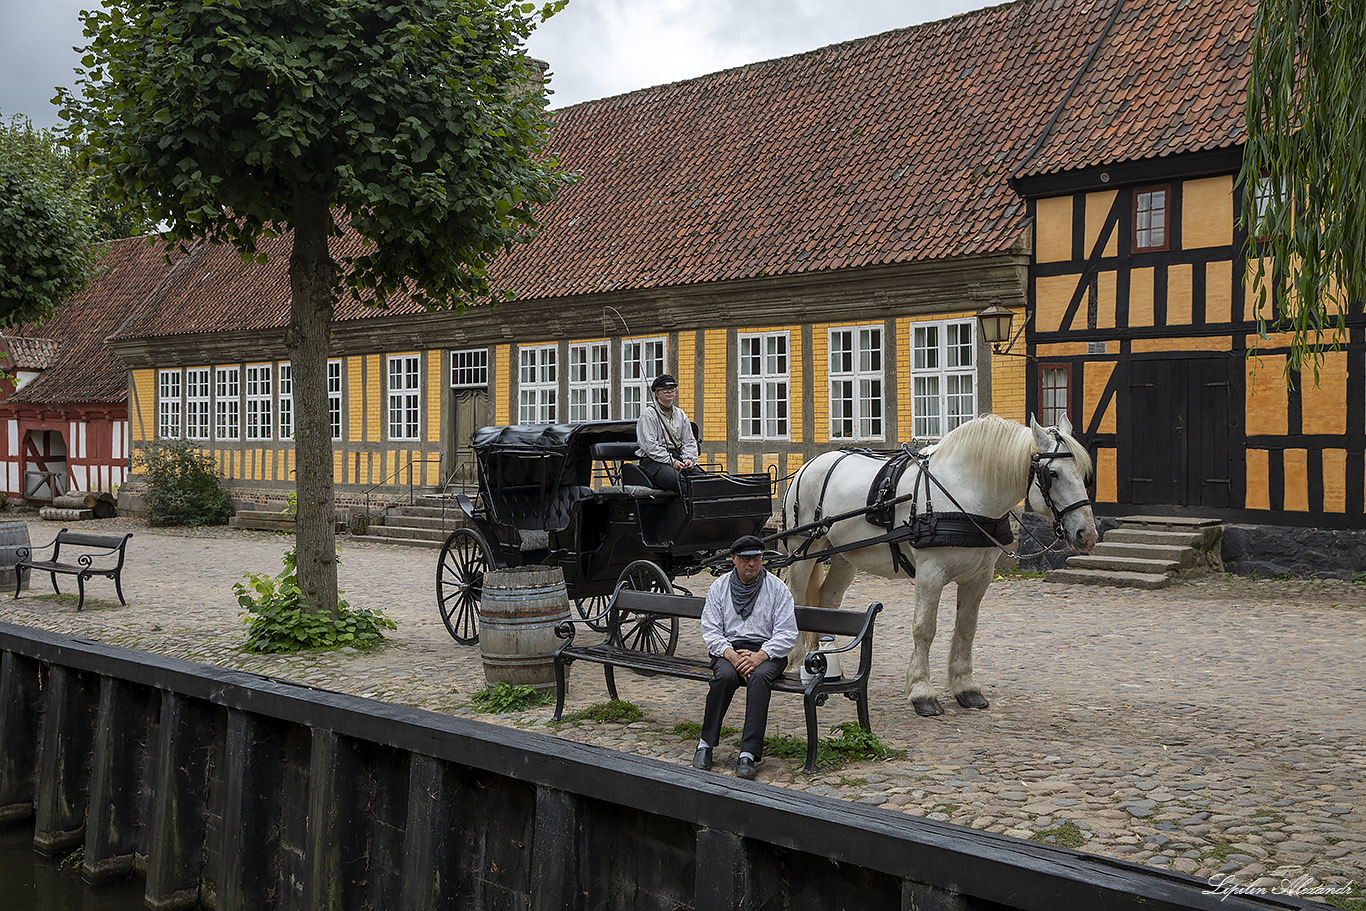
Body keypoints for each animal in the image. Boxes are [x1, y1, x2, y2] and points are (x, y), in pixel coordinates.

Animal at [781, 412, 1098, 721]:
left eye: (1085, 473)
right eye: (1052, 474)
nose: (1087, 534)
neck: (967, 493)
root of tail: (810, 463)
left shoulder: (979, 578)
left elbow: (966, 628)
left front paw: (966, 687)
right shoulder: (929, 574)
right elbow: (925, 629)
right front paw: (922, 692)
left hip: (846, 556)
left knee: (827, 601)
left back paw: (826, 658)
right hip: (802, 552)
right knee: (796, 599)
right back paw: (795, 662)